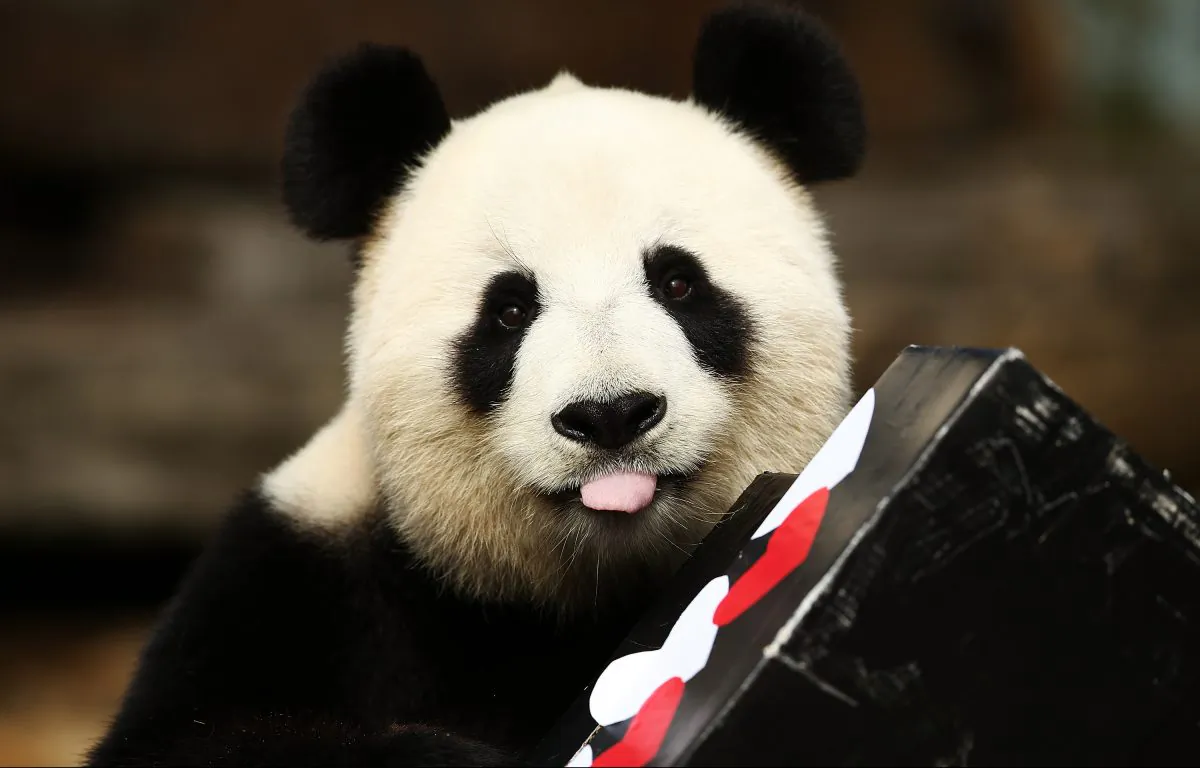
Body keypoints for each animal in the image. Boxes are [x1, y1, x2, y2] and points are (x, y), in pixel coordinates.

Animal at [88, 2, 864, 766]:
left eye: (678, 282)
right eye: (509, 310)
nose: (610, 414)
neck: (584, 594)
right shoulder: (301, 575)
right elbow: (191, 735)